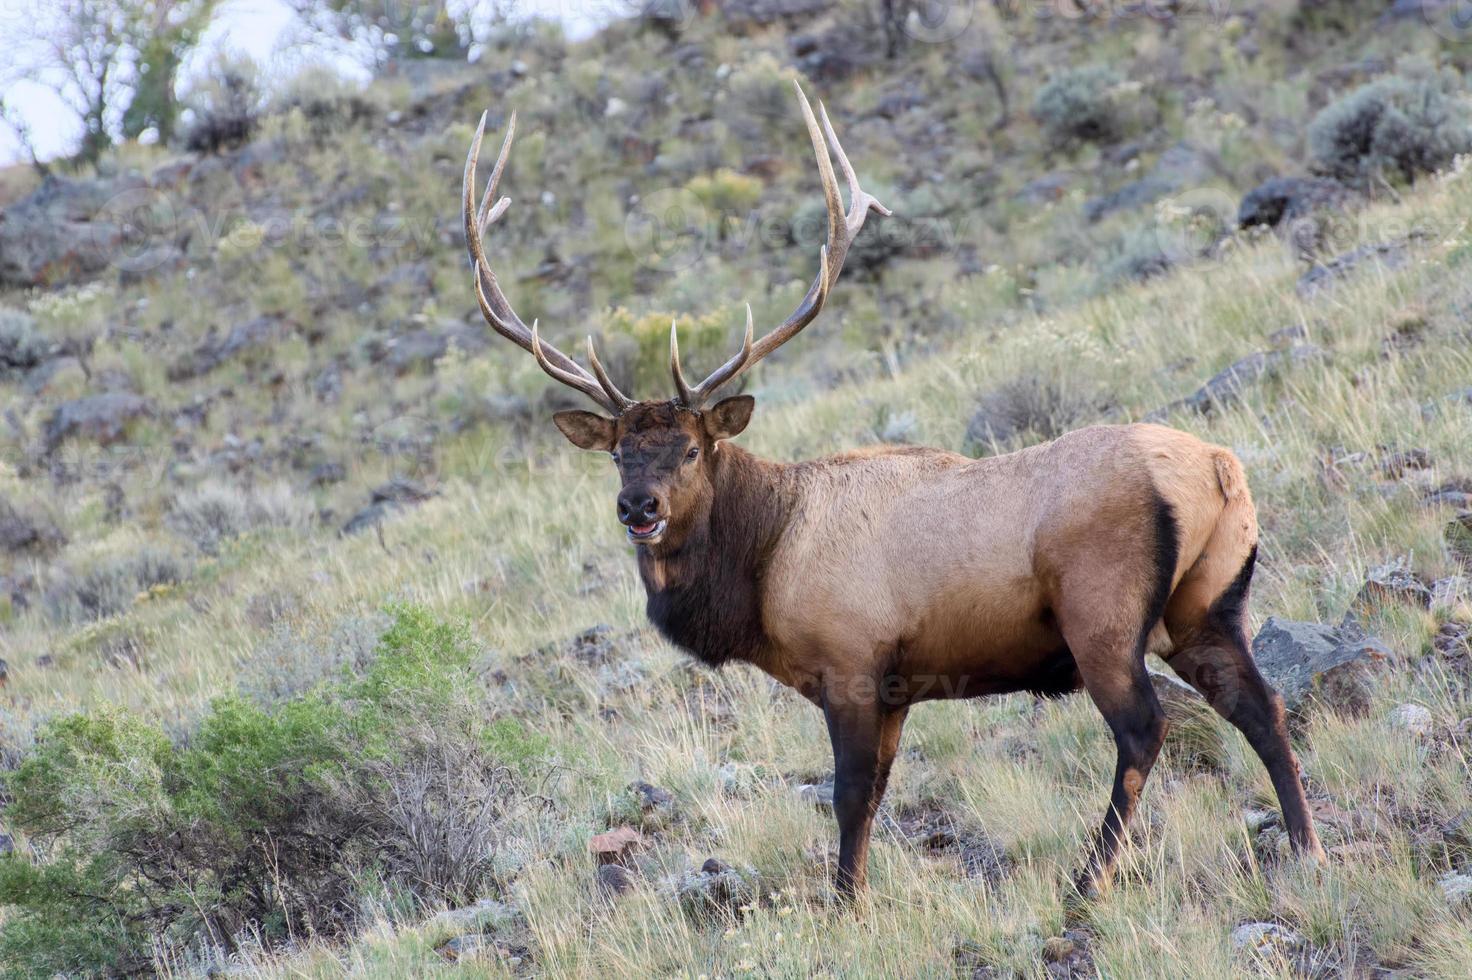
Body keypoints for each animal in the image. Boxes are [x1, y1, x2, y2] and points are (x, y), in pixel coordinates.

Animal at [456, 87, 1324, 894]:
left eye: (695, 449)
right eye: (617, 455)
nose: (640, 507)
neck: (761, 570)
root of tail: (1218, 468)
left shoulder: (850, 663)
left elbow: (849, 796)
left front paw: (846, 902)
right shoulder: (901, 688)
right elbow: (875, 795)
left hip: (1102, 612)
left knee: (1146, 727)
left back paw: (1089, 877)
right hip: (1207, 604)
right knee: (1262, 706)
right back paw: (1306, 847)